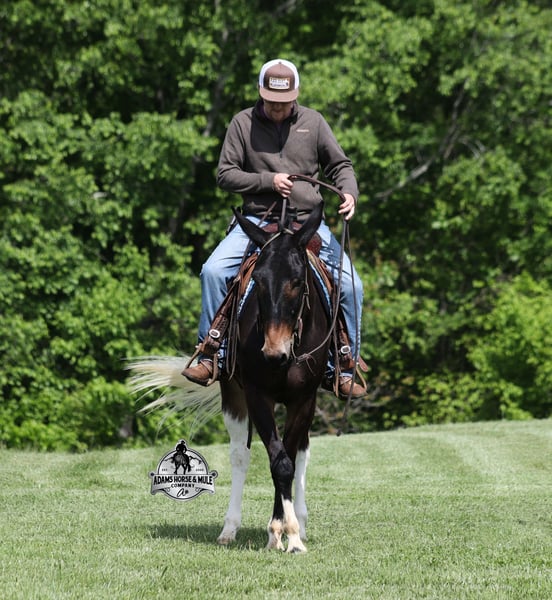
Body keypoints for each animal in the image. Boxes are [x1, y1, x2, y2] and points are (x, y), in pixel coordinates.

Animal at [128, 200, 331, 553]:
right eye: (259, 280)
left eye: (297, 280)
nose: (273, 351)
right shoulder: (256, 395)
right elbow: (278, 462)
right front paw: (281, 531)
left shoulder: (304, 398)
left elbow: (289, 460)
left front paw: (292, 534)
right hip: (234, 396)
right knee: (241, 456)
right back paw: (232, 528)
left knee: (299, 453)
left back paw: (298, 524)